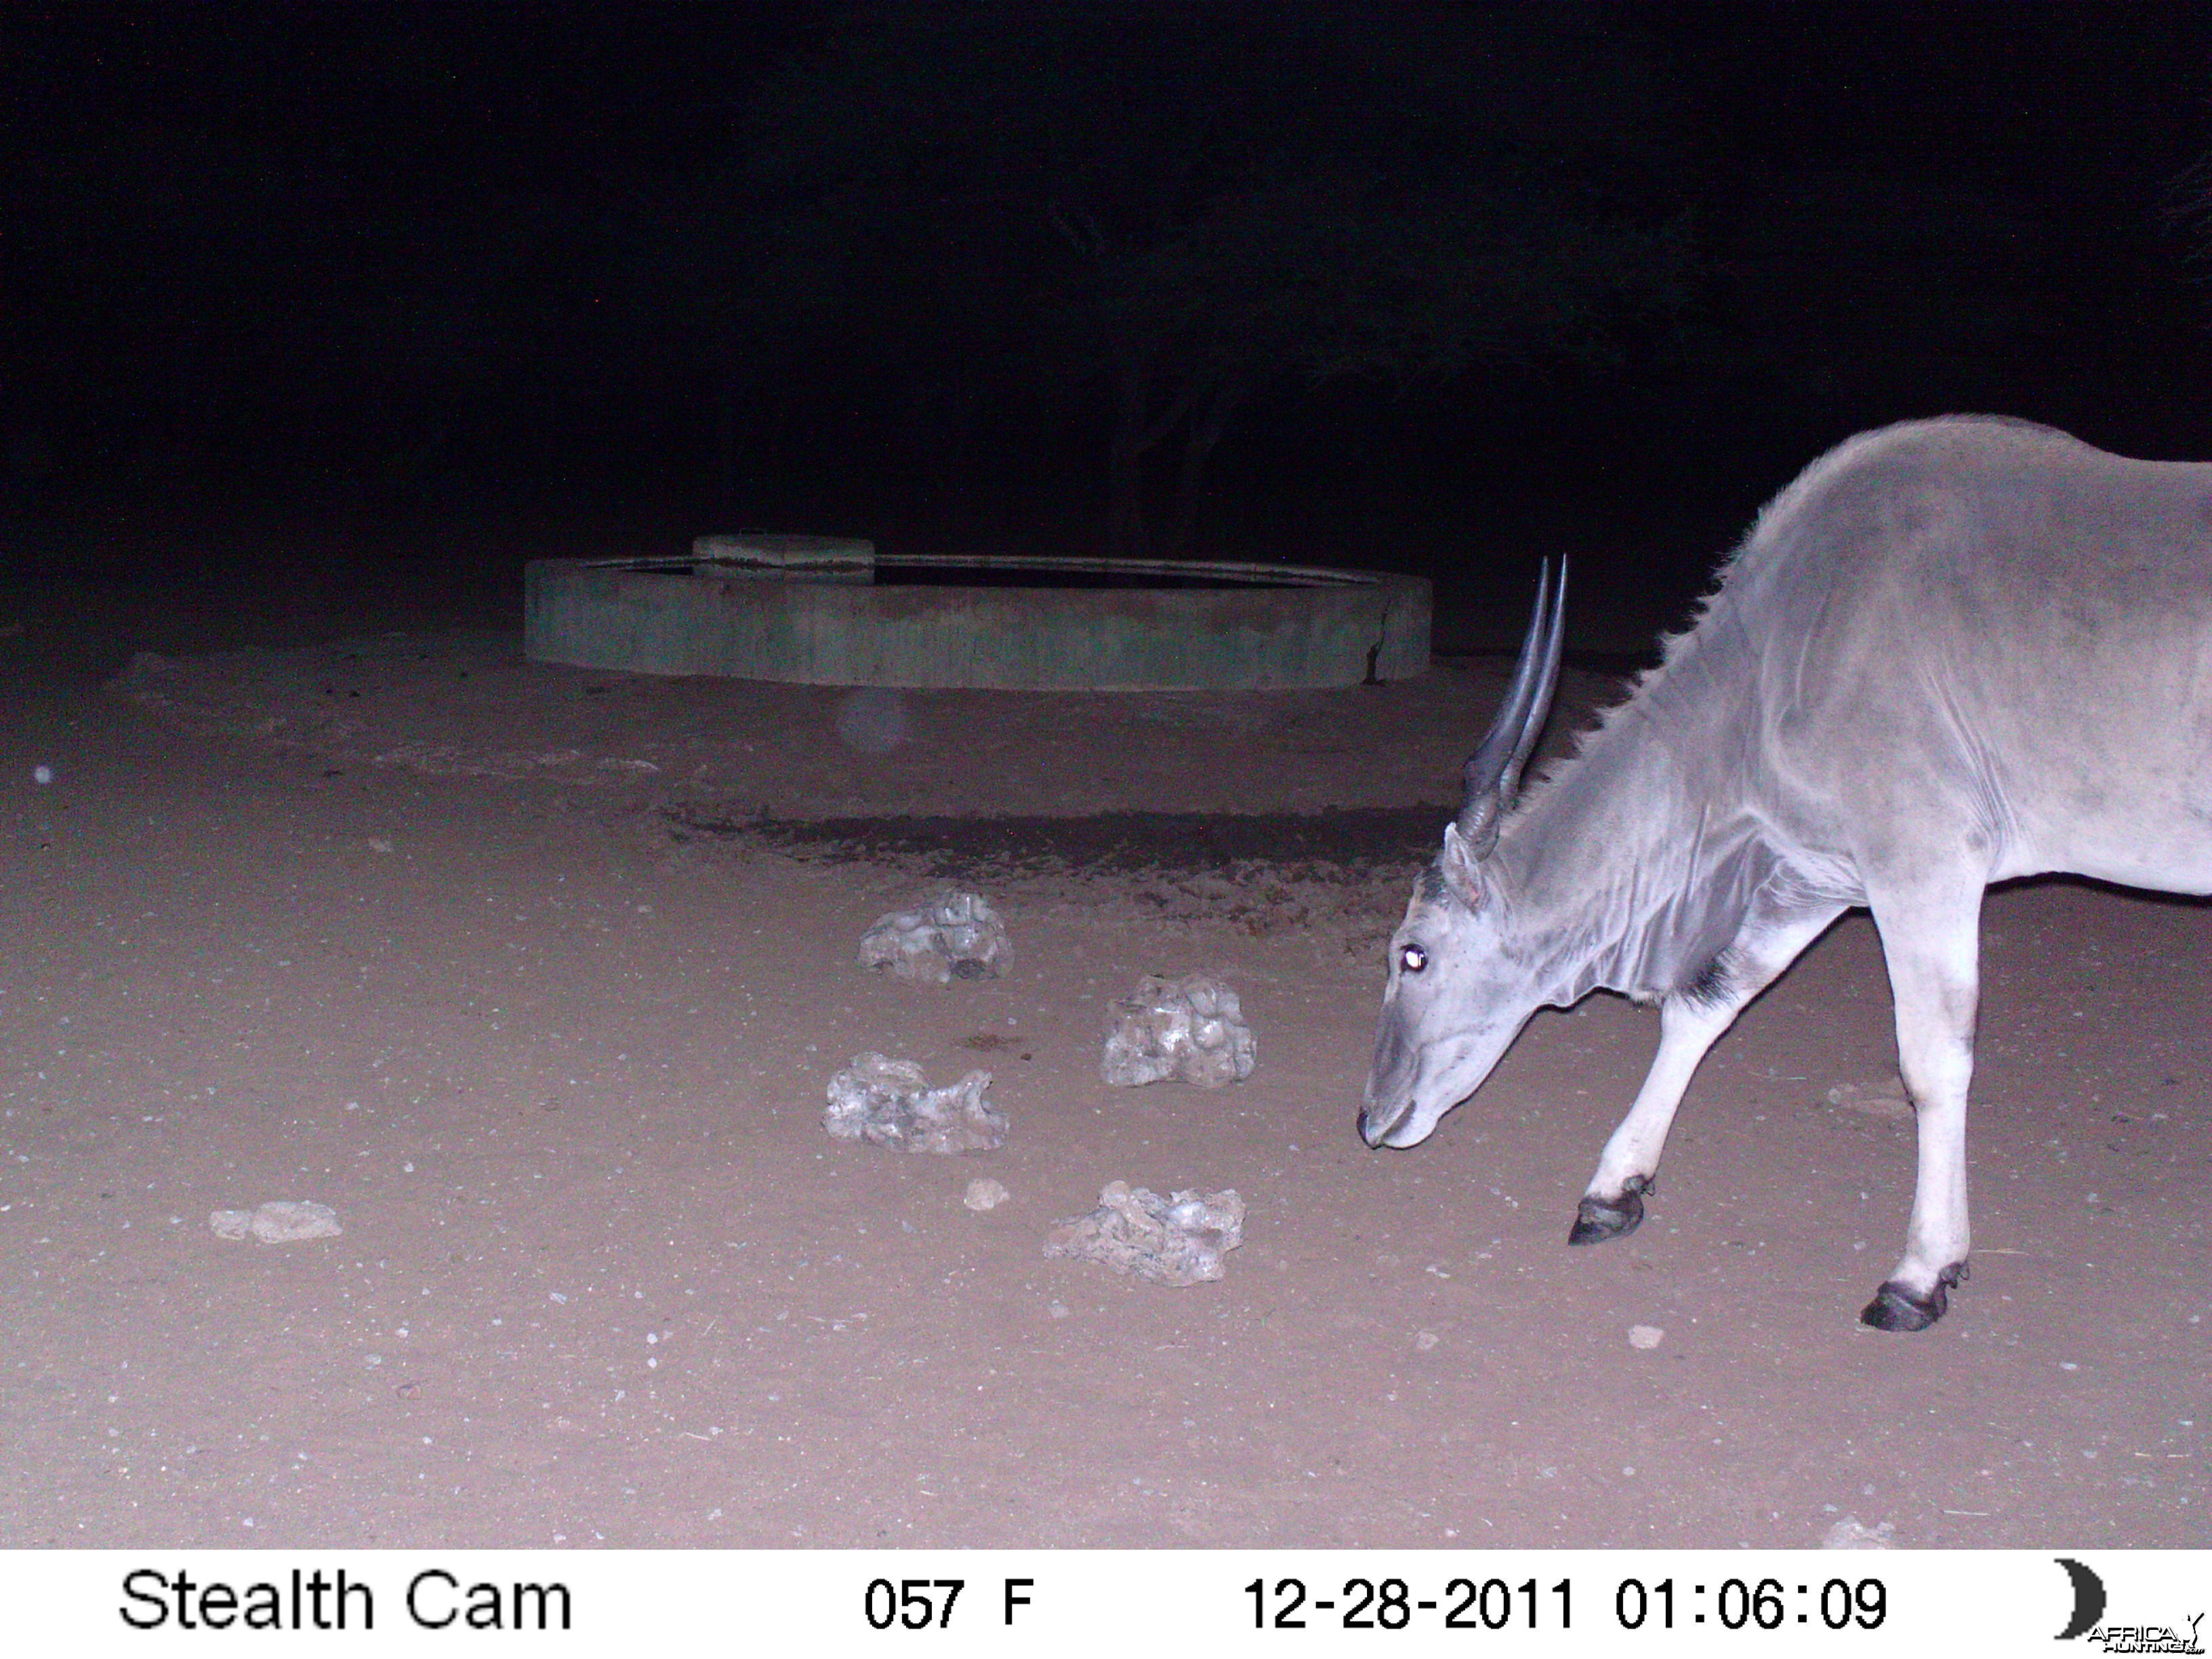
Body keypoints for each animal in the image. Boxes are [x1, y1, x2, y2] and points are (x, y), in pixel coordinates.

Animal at [1362, 417, 2212, 1336]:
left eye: (1413, 955)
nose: (1372, 1118)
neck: (1779, 650)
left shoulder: (1924, 863)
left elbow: (1931, 1062)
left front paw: (1919, 1276)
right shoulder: (1815, 877)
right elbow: (1704, 1005)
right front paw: (1613, 1192)